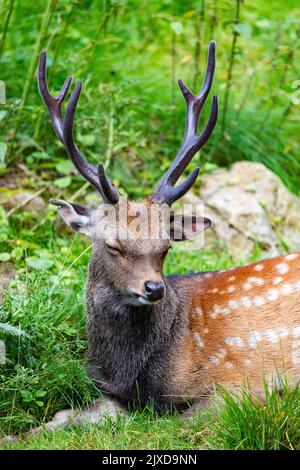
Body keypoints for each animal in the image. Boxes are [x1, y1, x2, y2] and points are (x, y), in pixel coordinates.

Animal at [3, 42, 298, 442]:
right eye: (113, 245)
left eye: (166, 246)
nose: (154, 288)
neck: (136, 372)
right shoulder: (111, 392)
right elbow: (68, 414)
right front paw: (15, 435)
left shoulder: (241, 382)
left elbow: (179, 419)